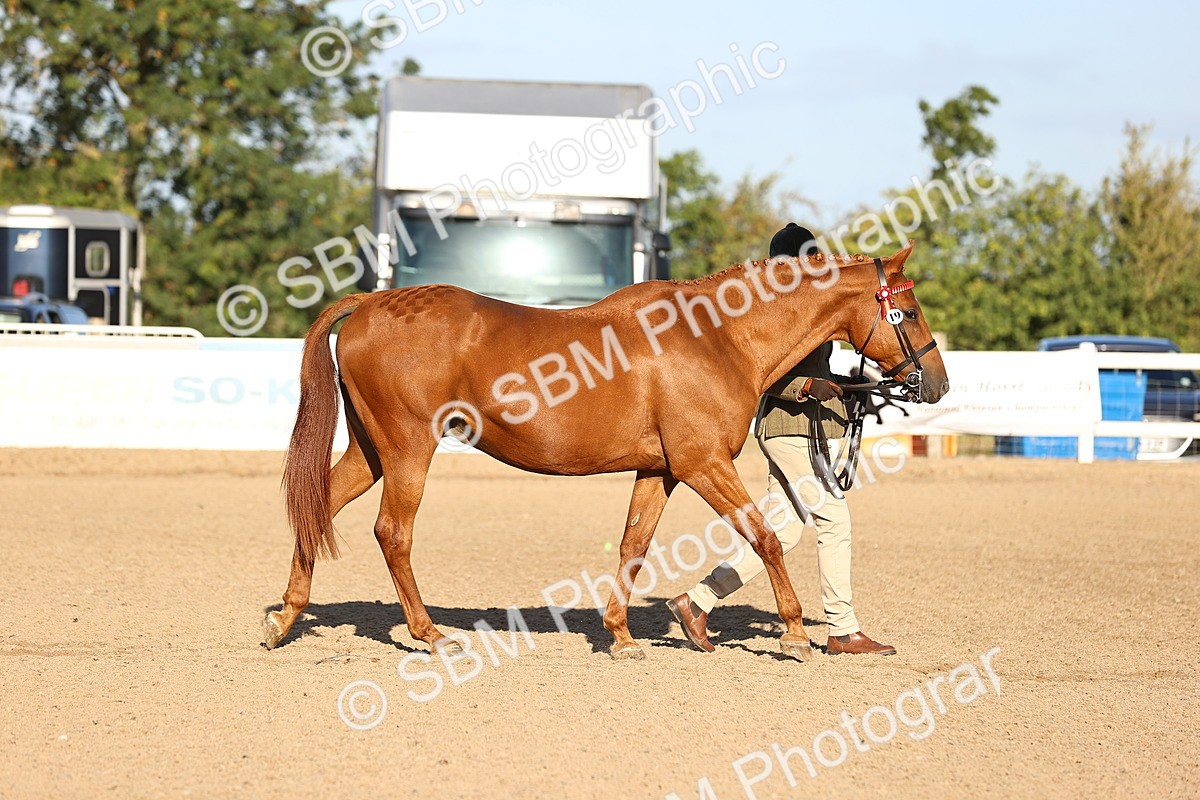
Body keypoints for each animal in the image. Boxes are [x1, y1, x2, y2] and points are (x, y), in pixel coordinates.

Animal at [262, 239, 948, 661]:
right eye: (910, 310)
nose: (937, 383)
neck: (719, 337)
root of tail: (372, 303)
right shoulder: (704, 464)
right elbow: (766, 539)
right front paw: (797, 634)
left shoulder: (660, 470)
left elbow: (633, 545)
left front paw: (620, 635)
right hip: (408, 450)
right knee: (392, 533)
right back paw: (430, 634)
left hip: (373, 452)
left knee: (317, 507)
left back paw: (283, 620)